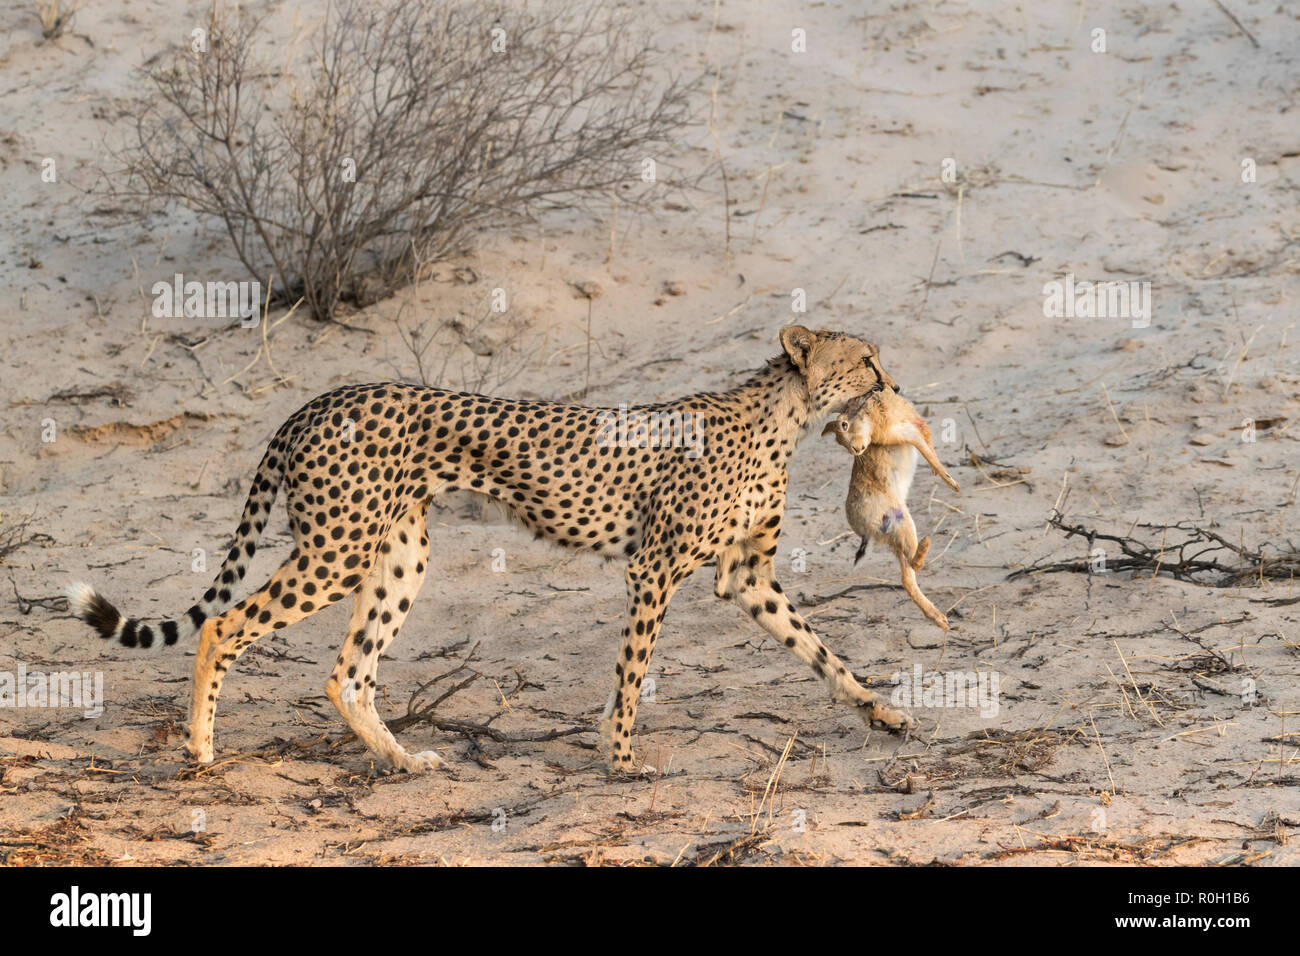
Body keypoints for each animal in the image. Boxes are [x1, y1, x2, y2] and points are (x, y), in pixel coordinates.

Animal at [68, 325, 915, 775]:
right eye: (866, 363)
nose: (897, 385)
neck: (783, 420)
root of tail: (321, 397)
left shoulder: (747, 577)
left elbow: (821, 650)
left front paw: (882, 713)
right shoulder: (654, 568)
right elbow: (632, 673)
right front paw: (620, 760)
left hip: (399, 555)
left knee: (348, 673)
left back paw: (404, 761)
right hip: (339, 548)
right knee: (224, 624)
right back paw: (202, 749)